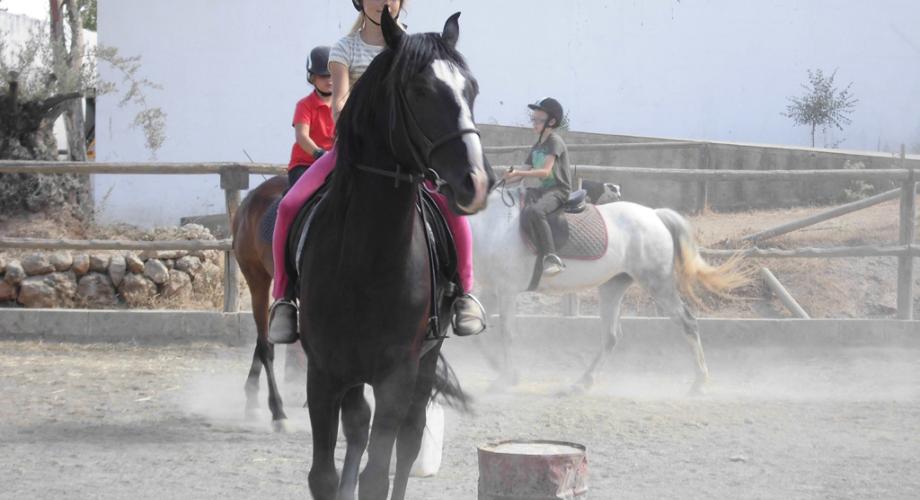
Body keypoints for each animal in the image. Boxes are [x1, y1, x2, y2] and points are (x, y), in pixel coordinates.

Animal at [298, 11, 492, 500]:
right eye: (420, 90)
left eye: (472, 89)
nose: (478, 182)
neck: (366, 259)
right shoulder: (324, 372)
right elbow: (323, 475)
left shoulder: (397, 374)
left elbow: (378, 472)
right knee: (358, 428)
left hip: (424, 365)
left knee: (407, 443)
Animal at [468, 182, 748, 392]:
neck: (491, 224)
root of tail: (655, 215)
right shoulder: (493, 289)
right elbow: (476, 331)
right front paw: (500, 370)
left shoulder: (507, 290)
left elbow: (507, 334)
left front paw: (507, 378)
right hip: (613, 286)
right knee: (611, 337)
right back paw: (582, 383)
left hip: (657, 284)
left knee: (688, 323)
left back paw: (699, 382)